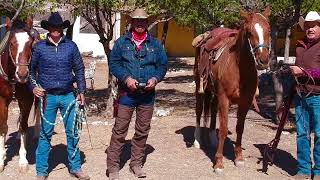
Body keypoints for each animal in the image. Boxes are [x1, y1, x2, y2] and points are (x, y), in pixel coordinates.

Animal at [194, 7, 272, 173]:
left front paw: (239, 158)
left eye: (269, 30)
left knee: (213, 111)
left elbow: (240, 128)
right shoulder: (225, 99)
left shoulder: (245, 102)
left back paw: (212, 137)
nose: (263, 61)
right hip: (200, 88)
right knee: (199, 111)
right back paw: (197, 140)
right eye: (249, 32)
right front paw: (218, 163)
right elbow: (224, 129)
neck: (239, 68)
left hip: (215, 93)